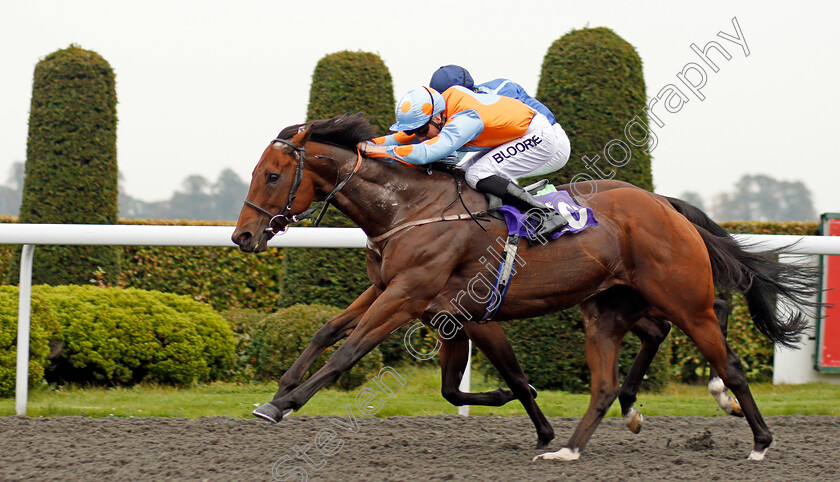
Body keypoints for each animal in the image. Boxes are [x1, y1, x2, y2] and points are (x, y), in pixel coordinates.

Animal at [231, 114, 820, 464]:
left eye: (271, 176)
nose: (243, 237)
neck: (409, 209)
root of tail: (664, 204)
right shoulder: (401, 294)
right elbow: (330, 331)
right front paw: (280, 389)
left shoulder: (410, 294)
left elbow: (350, 351)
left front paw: (286, 404)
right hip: (613, 303)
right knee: (644, 345)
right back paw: (620, 415)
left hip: (681, 297)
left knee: (726, 353)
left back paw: (755, 436)